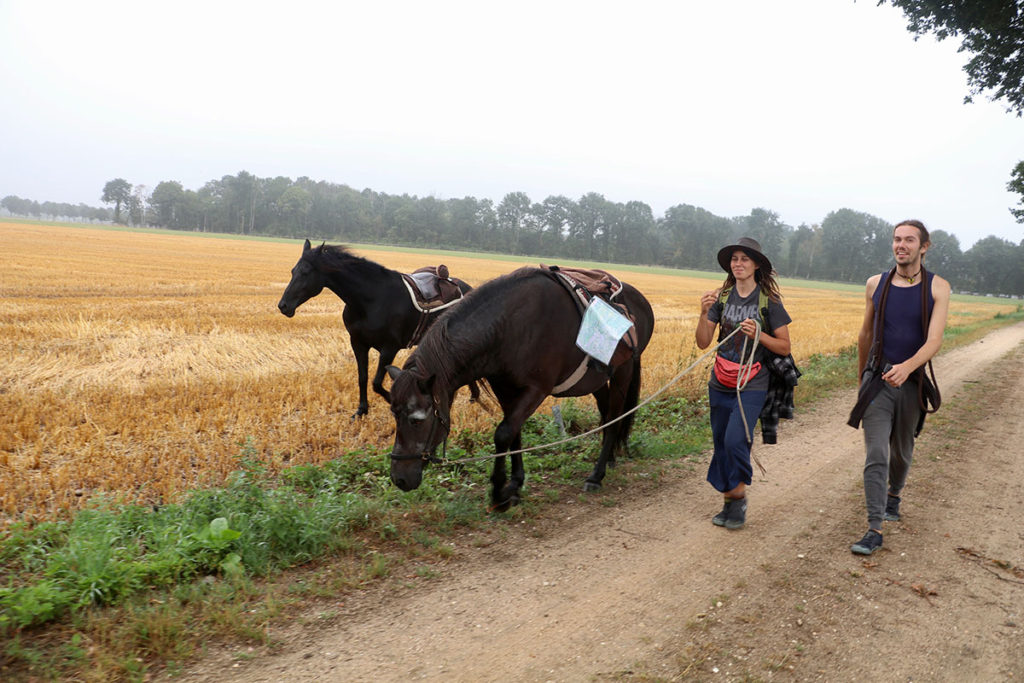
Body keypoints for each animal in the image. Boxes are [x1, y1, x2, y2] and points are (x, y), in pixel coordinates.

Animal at [278, 240, 473, 421]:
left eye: (305, 272)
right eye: (293, 271)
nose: (283, 306)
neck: (372, 299)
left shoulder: (389, 349)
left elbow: (377, 383)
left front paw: (394, 403)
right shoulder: (358, 343)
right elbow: (363, 378)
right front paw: (361, 410)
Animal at [385, 264, 655, 509]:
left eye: (416, 420)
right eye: (394, 415)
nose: (399, 478)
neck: (507, 328)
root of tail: (640, 301)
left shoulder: (536, 389)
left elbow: (503, 433)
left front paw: (499, 492)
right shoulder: (505, 389)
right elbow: (513, 433)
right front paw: (515, 484)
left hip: (622, 373)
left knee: (615, 419)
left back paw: (596, 475)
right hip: (597, 380)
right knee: (607, 415)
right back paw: (609, 459)